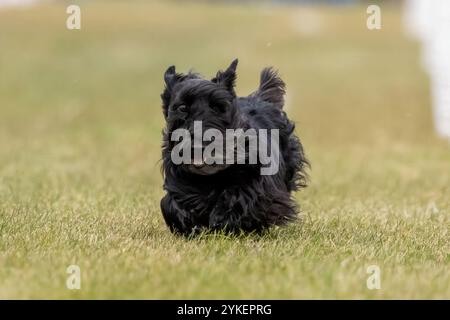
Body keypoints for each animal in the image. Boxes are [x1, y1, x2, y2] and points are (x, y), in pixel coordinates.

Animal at [160, 59, 308, 235]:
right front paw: (189, 224)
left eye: (217, 107)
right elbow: (172, 204)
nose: (199, 144)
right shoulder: (179, 184)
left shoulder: (258, 184)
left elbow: (243, 197)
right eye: (182, 107)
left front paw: (222, 219)